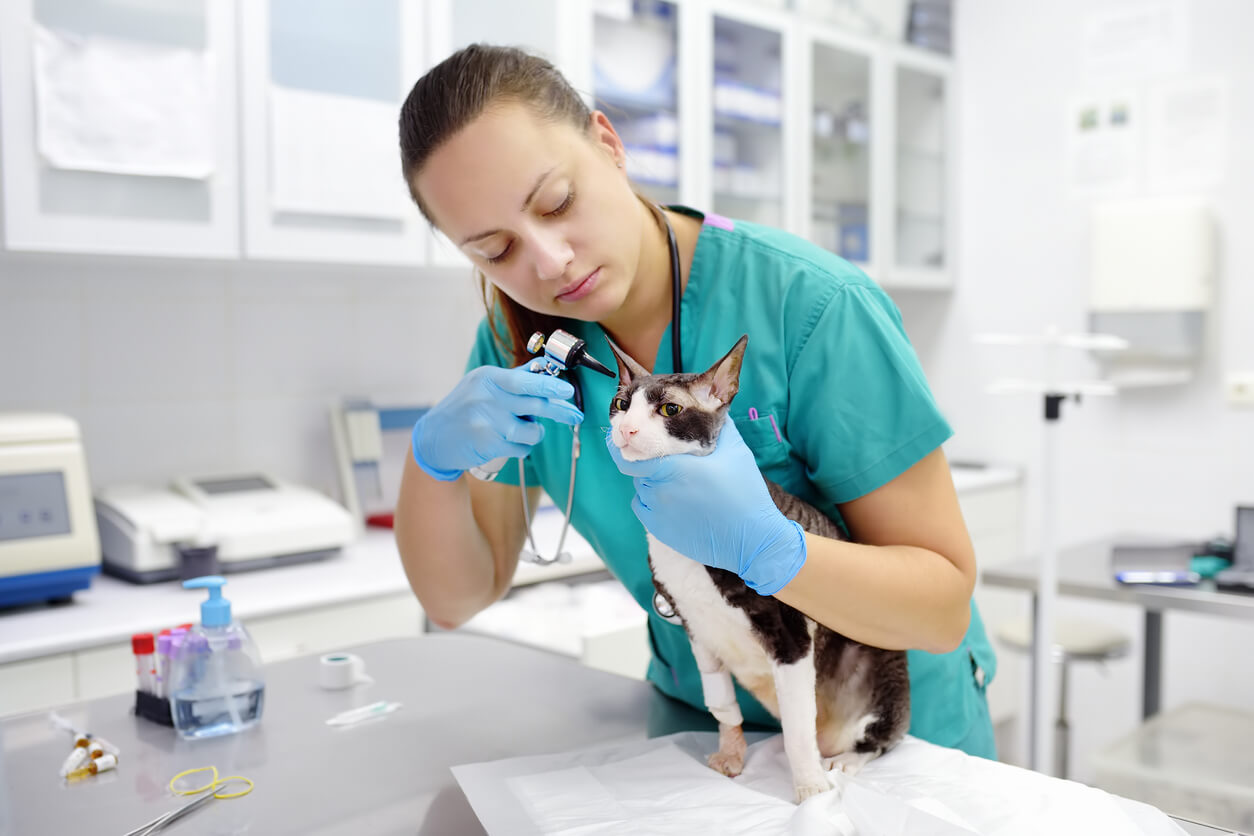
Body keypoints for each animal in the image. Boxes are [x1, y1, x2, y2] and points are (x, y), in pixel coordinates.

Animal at [604, 335, 907, 802]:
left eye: (670, 409)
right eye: (621, 404)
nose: (625, 429)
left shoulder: (792, 637)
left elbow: (798, 729)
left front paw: (810, 790)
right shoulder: (696, 629)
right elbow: (721, 703)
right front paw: (732, 753)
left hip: (880, 666)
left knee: (881, 737)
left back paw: (844, 760)